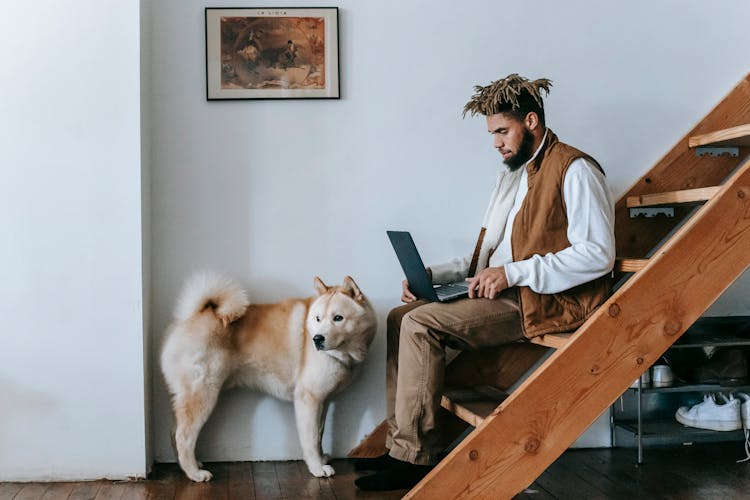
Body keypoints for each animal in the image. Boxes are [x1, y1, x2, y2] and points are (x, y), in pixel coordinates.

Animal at [162, 272, 378, 482]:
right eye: (318, 319)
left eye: (338, 318)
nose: (317, 339)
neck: (343, 354)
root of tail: (190, 317)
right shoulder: (308, 399)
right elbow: (310, 440)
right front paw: (317, 468)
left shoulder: (323, 401)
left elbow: (319, 434)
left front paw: (321, 457)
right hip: (203, 395)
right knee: (183, 437)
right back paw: (194, 473)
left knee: (174, 433)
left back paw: (186, 466)